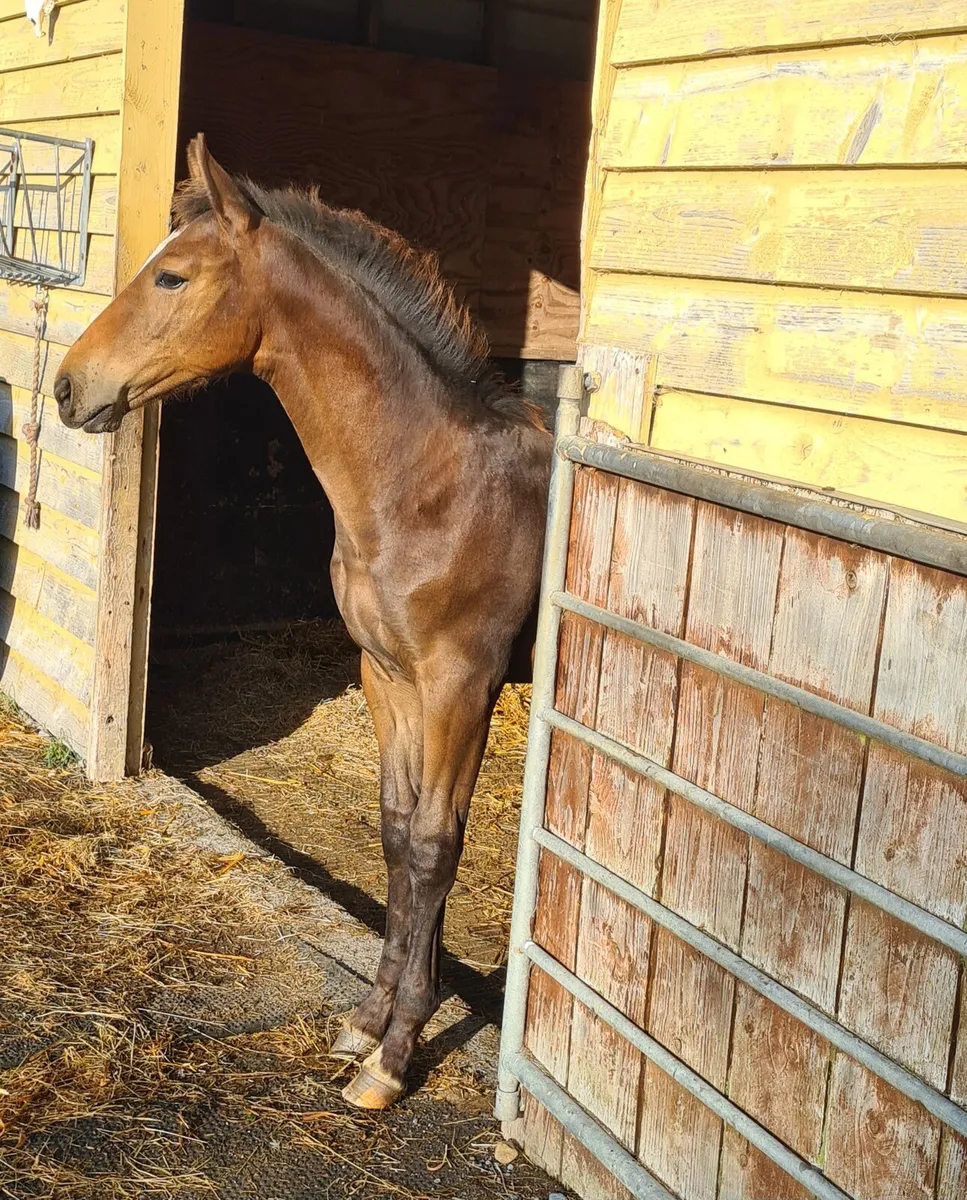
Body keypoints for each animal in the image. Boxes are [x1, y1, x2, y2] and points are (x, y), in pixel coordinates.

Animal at [55, 134, 553, 1110]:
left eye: (171, 276)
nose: (65, 387)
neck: (429, 486)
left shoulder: (461, 686)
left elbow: (435, 845)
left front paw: (392, 1061)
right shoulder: (386, 674)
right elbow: (398, 834)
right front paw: (366, 1021)